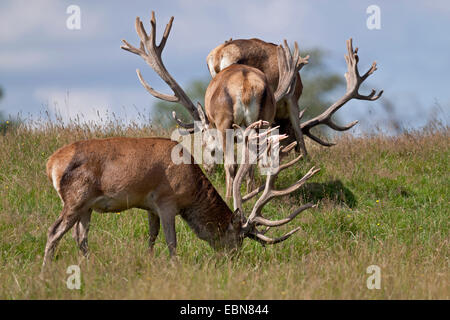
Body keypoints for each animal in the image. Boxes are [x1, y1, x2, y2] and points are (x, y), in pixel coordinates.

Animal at [207, 37, 384, 152]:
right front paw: (306, 160)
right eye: (289, 138)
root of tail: (218, 55)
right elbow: (299, 131)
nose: (291, 151)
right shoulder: (292, 98)